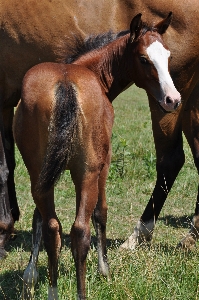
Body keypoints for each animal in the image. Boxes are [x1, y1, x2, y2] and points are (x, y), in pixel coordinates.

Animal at [13, 12, 176, 298]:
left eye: (167, 56)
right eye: (144, 59)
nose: (172, 99)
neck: (92, 72)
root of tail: (65, 84)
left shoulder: (43, 174)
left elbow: (36, 218)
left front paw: (30, 277)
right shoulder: (104, 164)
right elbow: (101, 212)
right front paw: (105, 271)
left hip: (39, 173)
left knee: (52, 226)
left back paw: (53, 291)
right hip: (86, 172)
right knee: (80, 230)